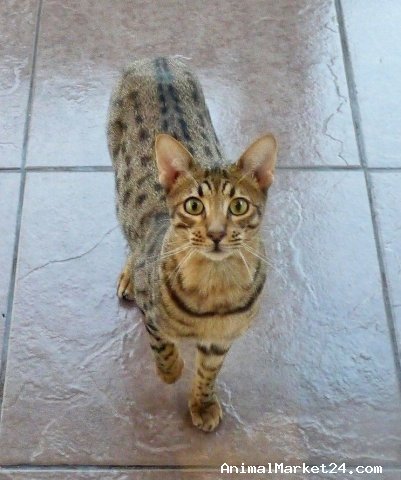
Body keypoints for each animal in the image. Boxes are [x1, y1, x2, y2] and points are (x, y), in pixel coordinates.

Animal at [107, 57, 277, 432]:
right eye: (194, 206)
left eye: (238, 206)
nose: (215, 233)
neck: (214, 287)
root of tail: (157, 59)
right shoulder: (152, 314)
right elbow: (163, 346)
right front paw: (171, 371)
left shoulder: (222, 339)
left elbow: (208, 374)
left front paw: (202, 404)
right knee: (130, 233)